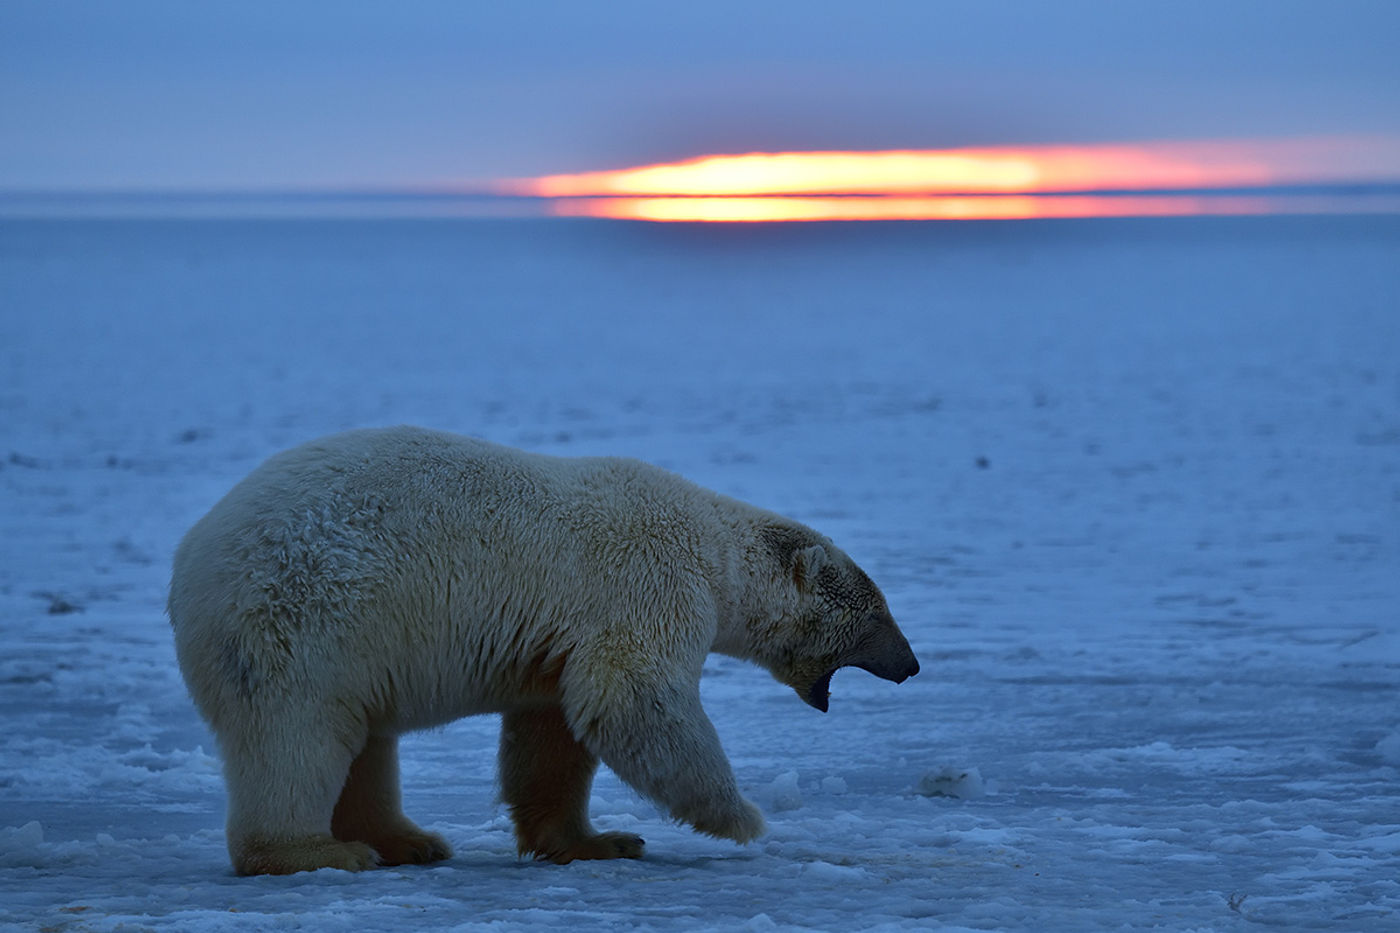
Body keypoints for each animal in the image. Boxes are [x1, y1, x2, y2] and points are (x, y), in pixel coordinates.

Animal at [169, 425, 918, 874]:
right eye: (877, 612)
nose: (911, 664)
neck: (717, 553)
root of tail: (191, 557)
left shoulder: (560, 639)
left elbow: (552, 731)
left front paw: (598, 840)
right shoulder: (649, 584)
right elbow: (636, 697)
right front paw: (743, 818)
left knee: (364, 741)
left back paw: (409, 839)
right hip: (300, 619)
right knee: (296, 735)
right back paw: (318, 849)